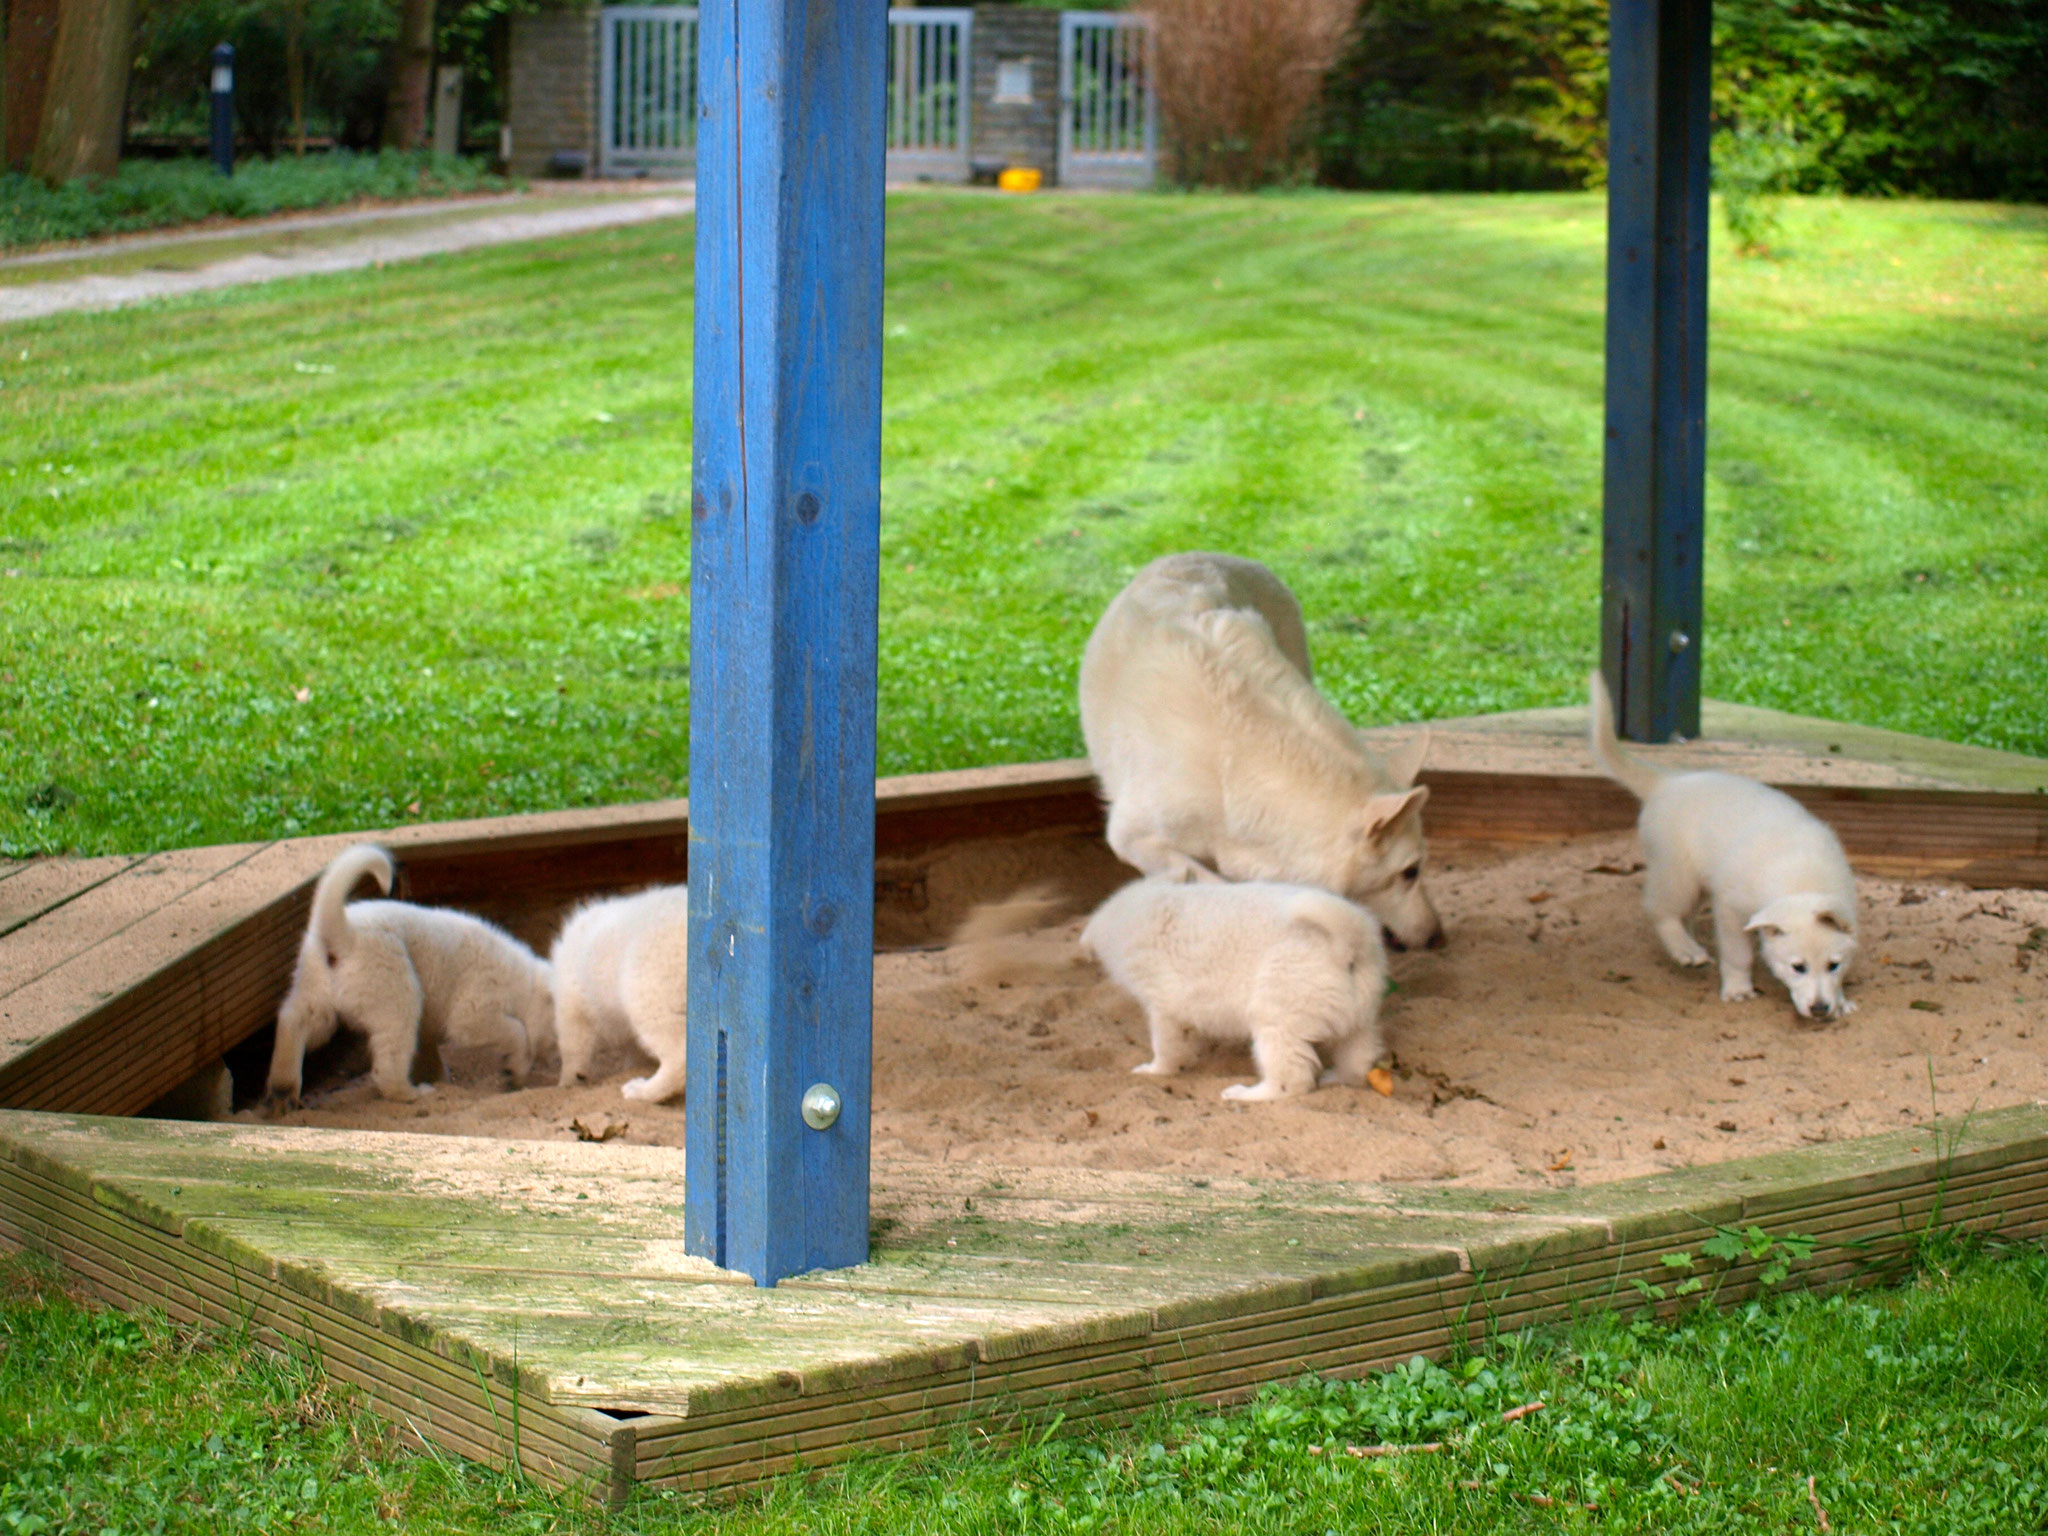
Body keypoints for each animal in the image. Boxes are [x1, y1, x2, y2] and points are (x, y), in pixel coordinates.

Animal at [548, 876, 692, 1105]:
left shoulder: (572, 1003)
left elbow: (573, 1050)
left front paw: (566, 1083)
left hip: (648, 993)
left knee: (678, 1056)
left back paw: (642, 1091)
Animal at [1073, 548, 1441, 946]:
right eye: (1410, 871)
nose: (1438, 936)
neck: (1230, 771)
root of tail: (1210, 554)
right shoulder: (1130, 838)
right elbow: (1210, 882)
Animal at [1073, 876, 1392, 1105]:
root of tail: (1349, 944)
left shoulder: (1164, 1008)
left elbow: (1165, 1048)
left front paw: (1155, 1071)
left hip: (1276, 1021)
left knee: (1291, 1081)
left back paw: (1246, 1094)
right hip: (1359, 1022)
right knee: (1357, 1064)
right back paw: (1335, 1076)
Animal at [1589, 671, 1867, 1024]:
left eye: (1834, 965)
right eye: (1797, 967)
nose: (1819, 1009)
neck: (1800, 881)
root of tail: (1668, 782)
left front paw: (1842, 1001)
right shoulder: (1732, 908)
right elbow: (1738, 954)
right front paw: (1737, 989)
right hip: (1677, 872)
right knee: (1659, 910)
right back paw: (1686, 950)